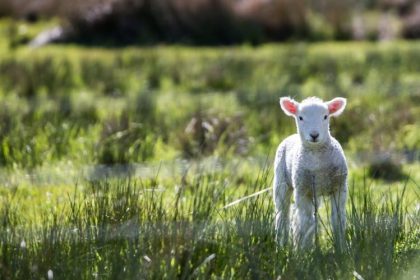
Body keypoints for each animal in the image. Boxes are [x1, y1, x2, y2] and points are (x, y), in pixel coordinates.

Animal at [272, 97, 348, 249]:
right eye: (300, 117)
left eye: (325, 116)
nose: (314, 135)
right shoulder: (302, 190)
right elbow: (306, 222)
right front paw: (303, 250)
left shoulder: (339, 187)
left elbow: (338, 220)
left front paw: (341, 248)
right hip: (281, 181)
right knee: (283, 215)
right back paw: (281, 245)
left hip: (315, 191)